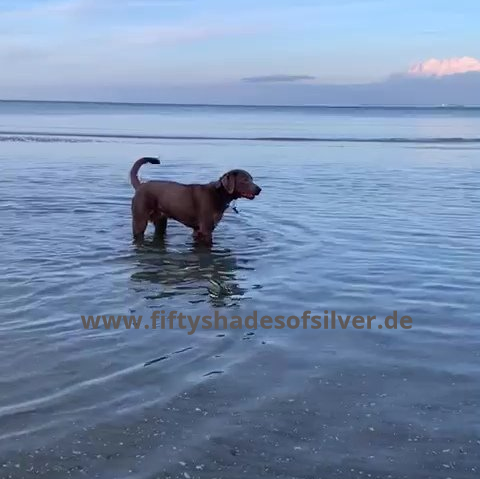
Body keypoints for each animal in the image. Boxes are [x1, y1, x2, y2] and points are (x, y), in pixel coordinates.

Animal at [129, 157, 261, 246]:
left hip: (161, 221)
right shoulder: (206, 229)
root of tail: (141, 186)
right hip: (140, 220)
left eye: (252, 179)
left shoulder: (198, 230)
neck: (219, 194)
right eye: (244, 180)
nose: (259, 189)